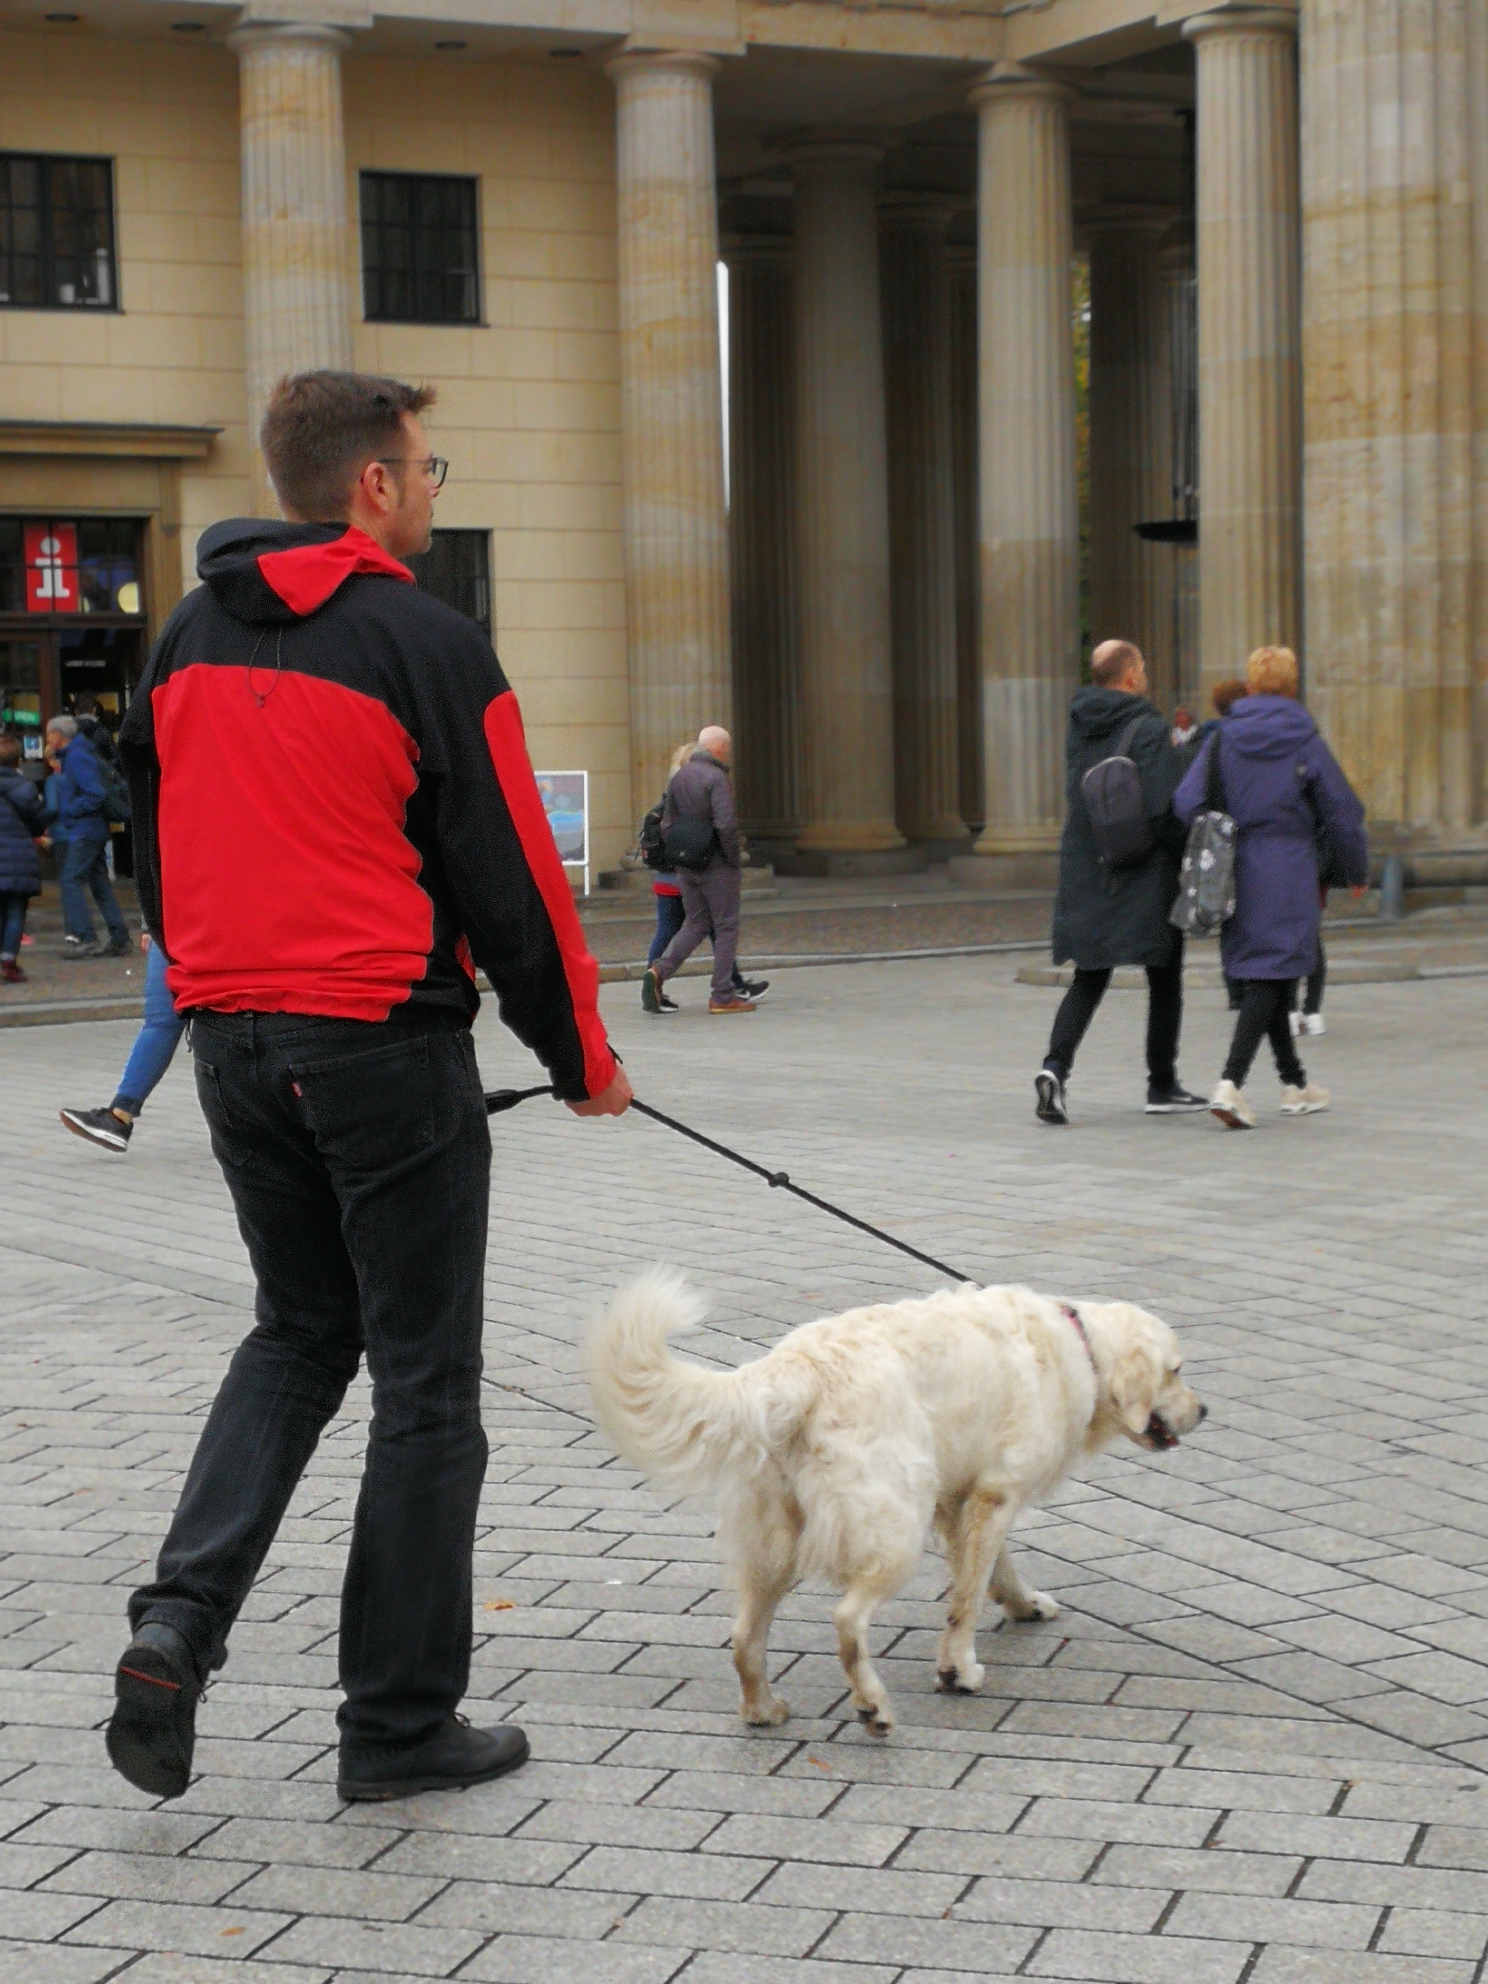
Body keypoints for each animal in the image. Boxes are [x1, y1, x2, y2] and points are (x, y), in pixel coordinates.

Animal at [587, 1277, 1206, 1730]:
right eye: (1176, 1370)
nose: (1205, 1412)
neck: (1082, 1350)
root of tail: (794, 1368)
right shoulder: (995, 1494)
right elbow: (966, 1601)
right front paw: (958, 1670)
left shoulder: (966, 1500)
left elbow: (993, 1571)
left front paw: (1023, 1604)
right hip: (894, 1531)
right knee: (847, 1622)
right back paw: (872, 1706)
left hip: (773, 1541)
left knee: (744, 1636)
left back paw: (762, 1709)